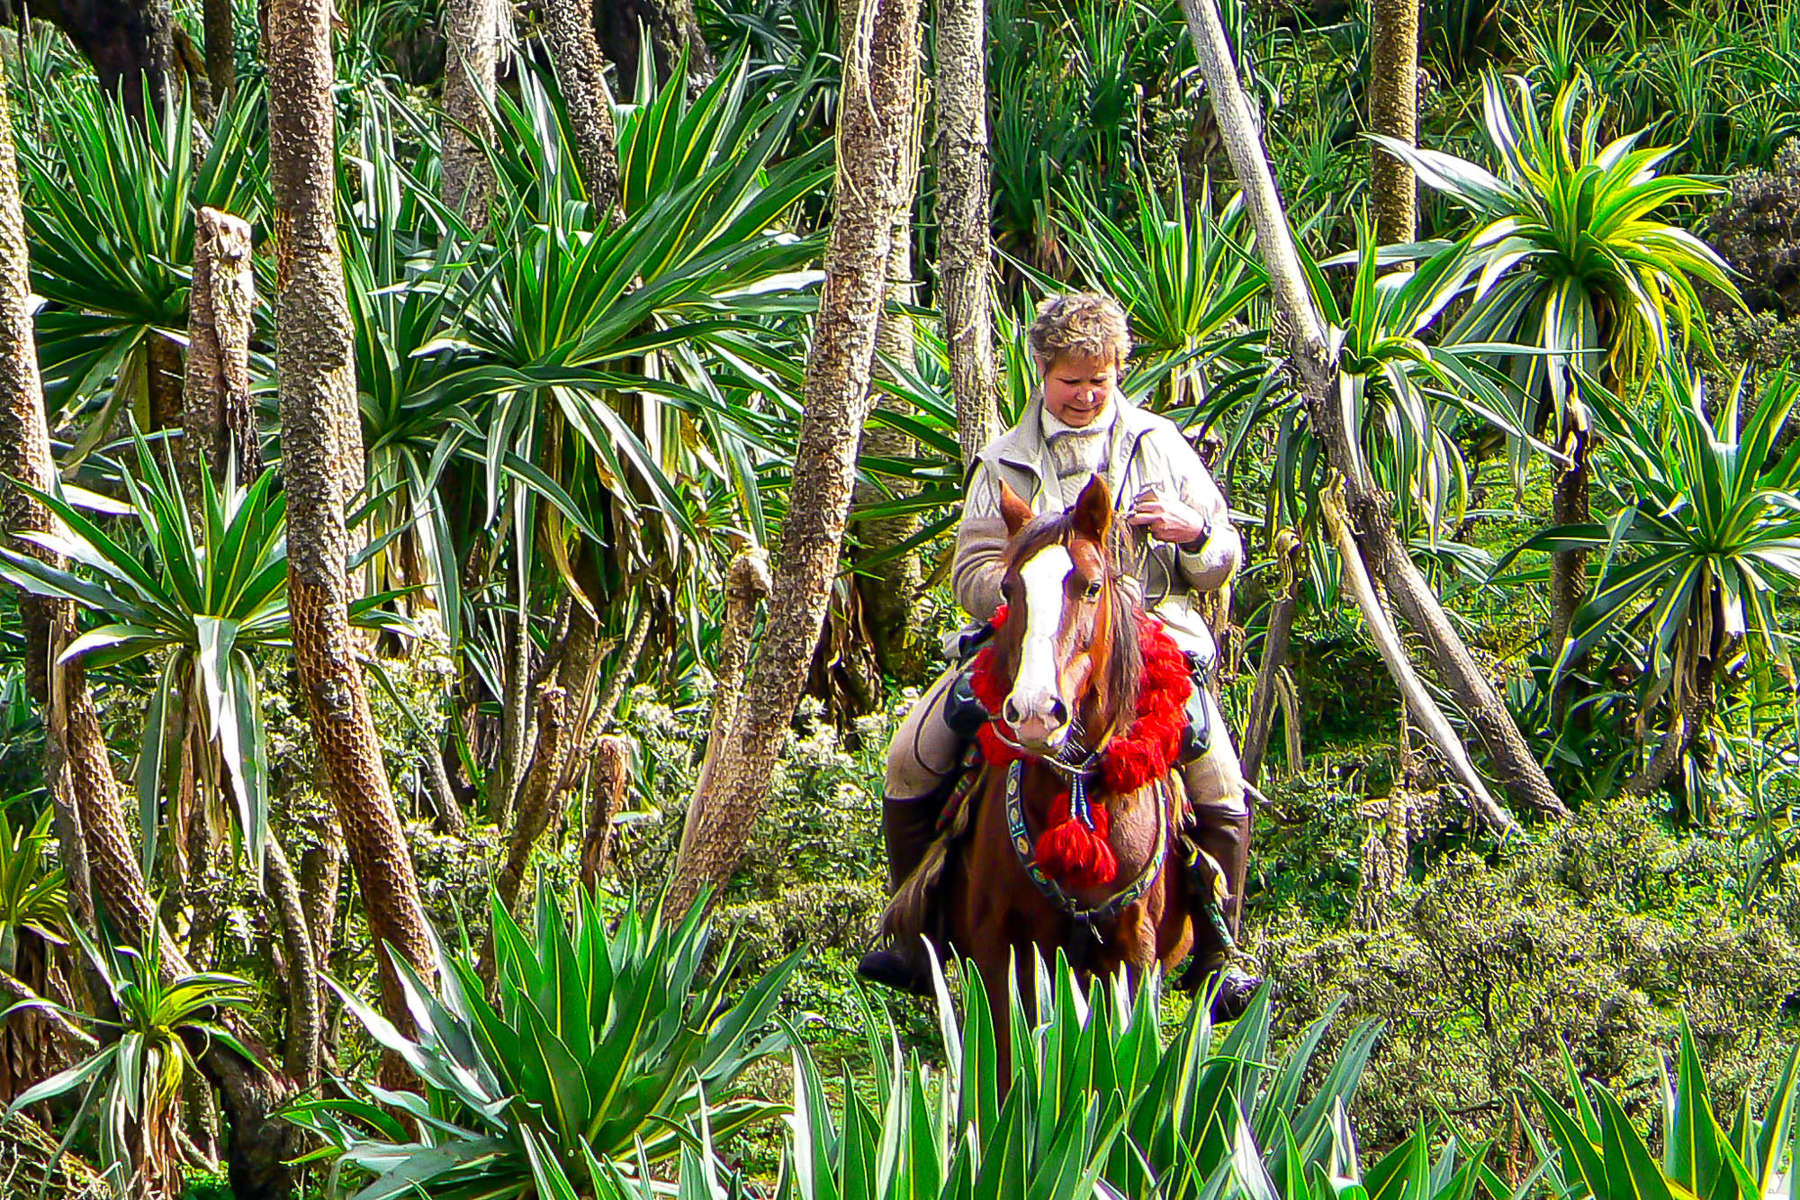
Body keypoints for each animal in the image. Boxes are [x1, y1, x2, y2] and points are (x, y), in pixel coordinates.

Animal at [936, 474, 1188, 1065]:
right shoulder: (999, 948)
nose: (1034, 711)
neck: (1076, 791)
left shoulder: (1134, 952)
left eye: (1092, 586)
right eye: (1009, 589)